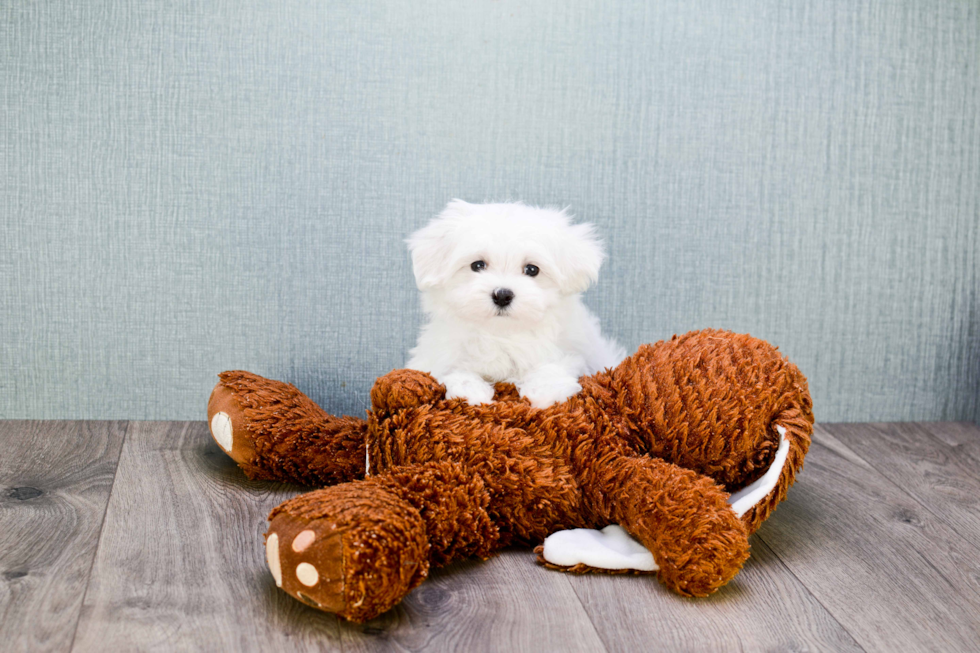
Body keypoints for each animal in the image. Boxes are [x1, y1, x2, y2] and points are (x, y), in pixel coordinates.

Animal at [406, 201, 628, 410]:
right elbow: (452, 368)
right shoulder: (436, 354)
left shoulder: (572, 350)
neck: (501, 334)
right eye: (477, 265)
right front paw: (470, 392)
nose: (502, 295)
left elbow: (553, 365)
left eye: (532, 269)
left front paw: (546, 392)